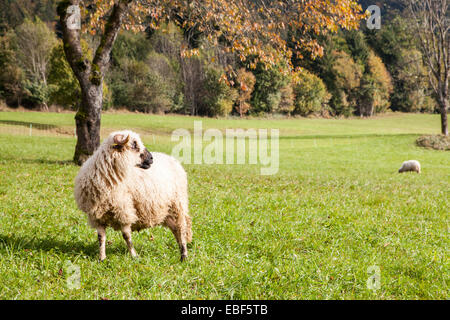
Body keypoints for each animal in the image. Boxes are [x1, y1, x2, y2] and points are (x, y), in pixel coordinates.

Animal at [73, 131, 192, 262]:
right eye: (134, 145)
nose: (151, 158)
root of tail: (173, 159)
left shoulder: (124, 211)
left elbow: (126, 236)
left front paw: (134, 255)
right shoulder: (96, 216)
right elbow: (101, 238)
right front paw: (102, 258)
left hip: (178, 204)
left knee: (181, 229)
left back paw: (184, 255)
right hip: (165, 211)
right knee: (175, 229)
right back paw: (181, 251)